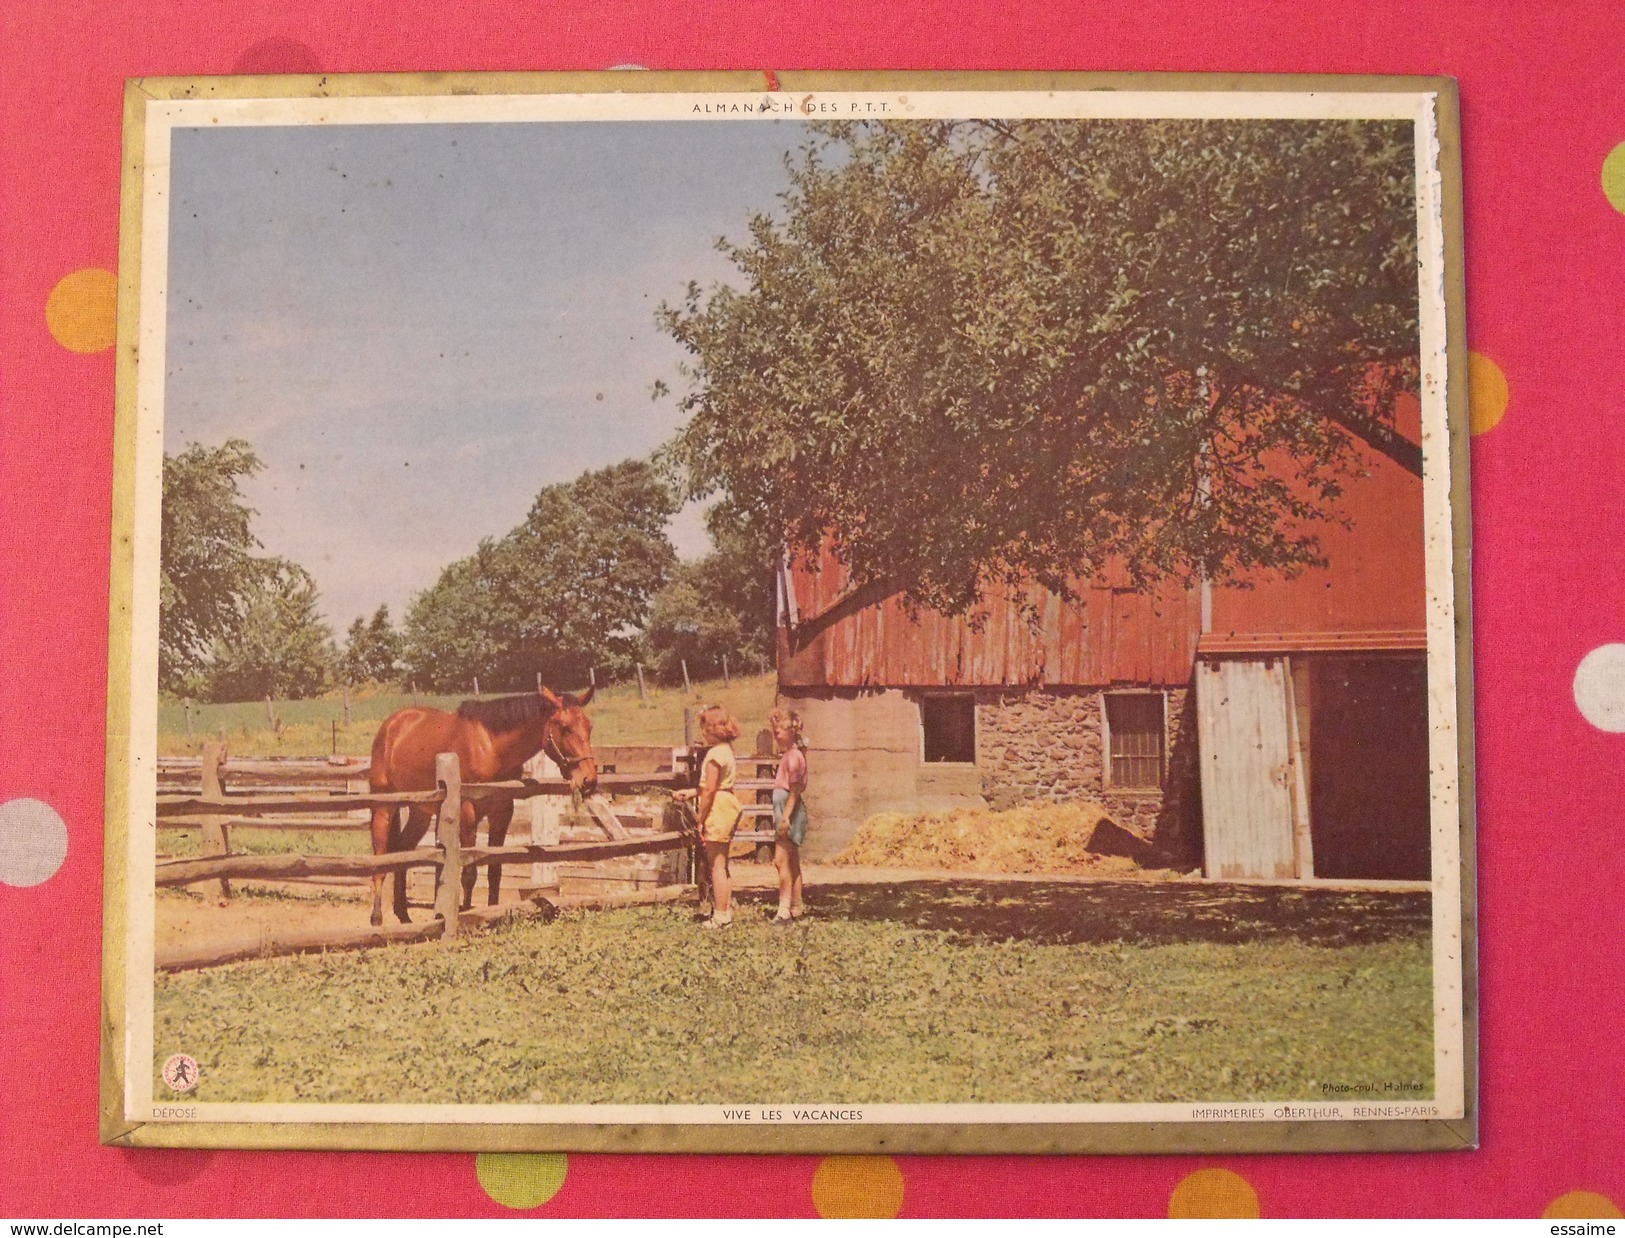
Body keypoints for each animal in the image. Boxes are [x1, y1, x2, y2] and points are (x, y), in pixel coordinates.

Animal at [368, 679, 598, 922]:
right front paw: (467, 913)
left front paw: (494, 913)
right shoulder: (468, 814)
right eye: (564, 727)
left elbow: (494, 870)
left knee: (403, 850)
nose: (589, 779)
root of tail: (392, 725)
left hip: (420, 811)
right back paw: (377, 917)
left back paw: (403, 915)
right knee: (380, 856)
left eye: (589, 726)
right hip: (383, 807)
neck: (491, 748)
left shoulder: (501, 814)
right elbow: (469, 873)